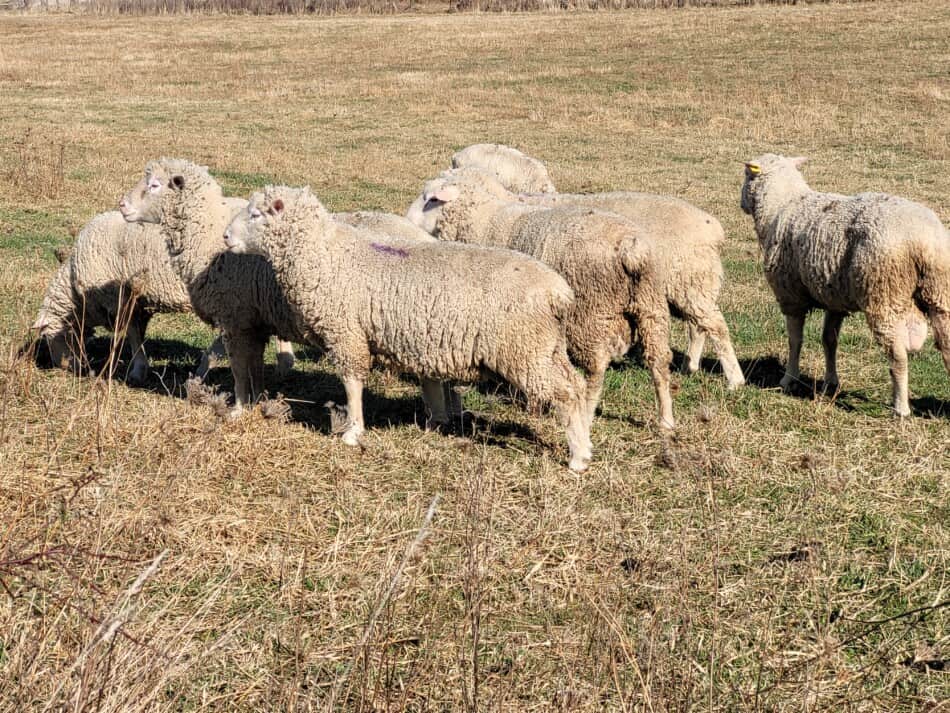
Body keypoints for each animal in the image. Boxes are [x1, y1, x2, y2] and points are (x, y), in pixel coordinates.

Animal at [33, 203, 296, 384]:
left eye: (51, 337)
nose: (68, 368)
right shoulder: (140, 301)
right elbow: (137, 333)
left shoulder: (121, 299)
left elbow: (132, 335)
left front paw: (137, 370)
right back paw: (283, 363)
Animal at [224, 186, 596, 470]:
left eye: (256, 215)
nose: (226, 237)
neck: (327, 257)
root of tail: (559, 292)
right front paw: (432, 422)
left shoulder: (347, 334)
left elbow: (352, 383)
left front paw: (353, 432)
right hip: (545, 347)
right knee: (576, 386)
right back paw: (586, 443)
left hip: (523, 349)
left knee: (566, 393)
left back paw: (578, 457)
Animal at [410, 170, 676, 432]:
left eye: (430, 199)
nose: (406, 217)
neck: (483, 219)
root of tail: (632, 249)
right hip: (650, 306)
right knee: (659, 361)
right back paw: (666, 421)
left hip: (591, 313)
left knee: (596, 369)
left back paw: (586, 416)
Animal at [744, 153, 950, 414]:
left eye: (746, 175)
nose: (742, 203)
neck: (781, 206)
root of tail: (924, 239)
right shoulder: (834, 298)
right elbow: (829, 340)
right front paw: (831, 382)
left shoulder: (791, 295)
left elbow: (795, 341)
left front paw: (789, 379)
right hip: (939, 290)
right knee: (947, 344)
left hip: (883, 293)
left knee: (898, 355)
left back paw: (900, 407)